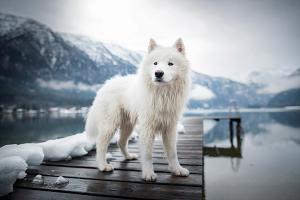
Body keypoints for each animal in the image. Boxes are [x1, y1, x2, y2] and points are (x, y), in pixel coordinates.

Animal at [85, 38, 191, 182]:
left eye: (170, 64)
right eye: (155, 63)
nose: (158, 73)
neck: (162, 94)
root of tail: (105, 85)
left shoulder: (170, 128)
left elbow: (172, 153)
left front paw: (177, 170)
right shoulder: (147, 128)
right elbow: (147, 155)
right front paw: (148, 174)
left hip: (128, 125)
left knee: (121, 142)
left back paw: (128, 156)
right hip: (110, 125)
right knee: (101, 144)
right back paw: (103, 166)